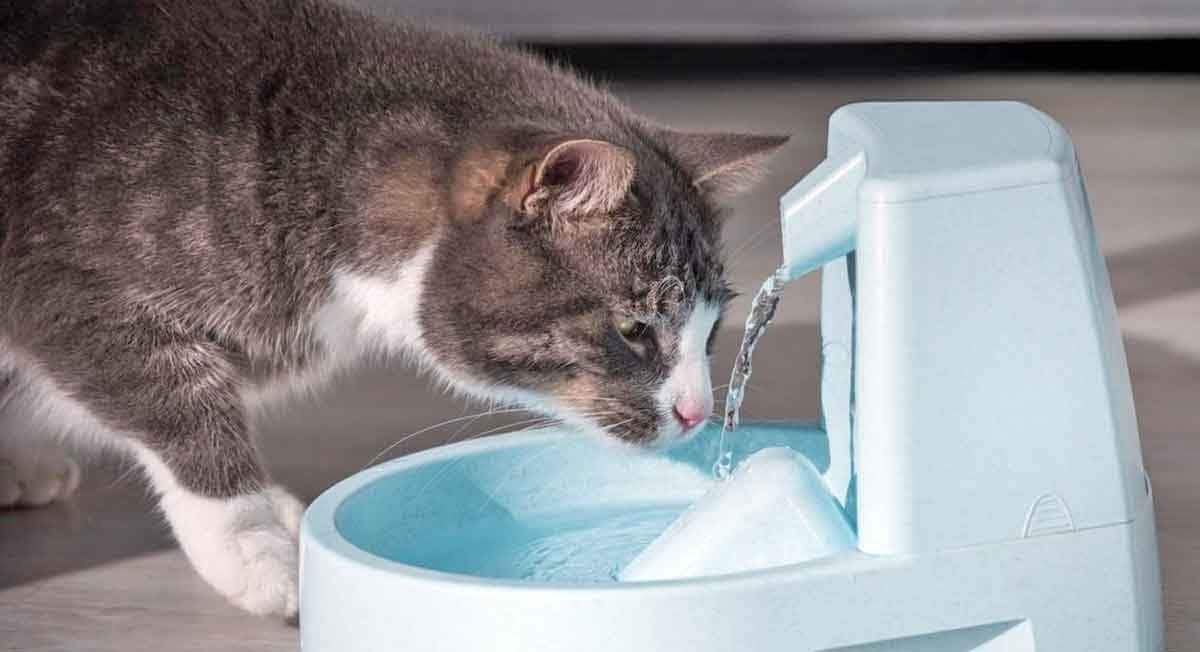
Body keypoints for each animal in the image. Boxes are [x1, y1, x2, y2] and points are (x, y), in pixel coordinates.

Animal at [0, 0, 792, 619]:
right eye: (633, 329)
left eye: (711, 331)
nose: (697, 411)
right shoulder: (65, 282)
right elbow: (178, 399)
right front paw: (257, 546)